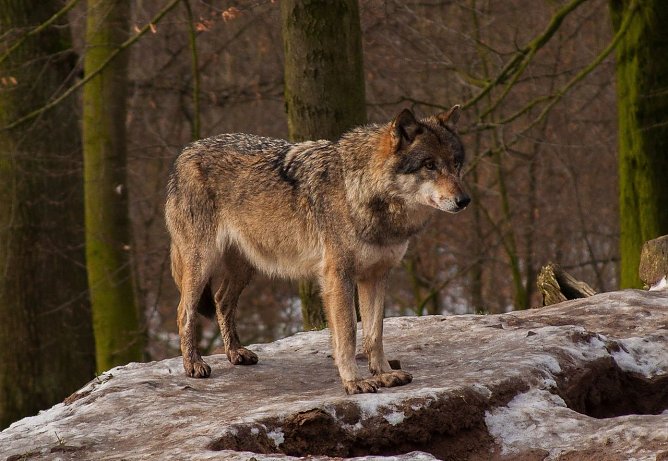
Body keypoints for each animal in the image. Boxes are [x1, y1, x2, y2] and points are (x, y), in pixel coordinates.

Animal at [165, 106, 470, 394]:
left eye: (456, 163)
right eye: (429, 165)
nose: (465, 200)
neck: (359, 192)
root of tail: (185, 153)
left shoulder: (376, 275)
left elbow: (374, 334)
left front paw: (384, 374)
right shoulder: (338, 278)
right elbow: (348, 334)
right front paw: (354, 382)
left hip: (245, 266)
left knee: (221, 300)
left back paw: (235, 353)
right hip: (202, 264)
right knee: (184, 311)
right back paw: (193, 364)